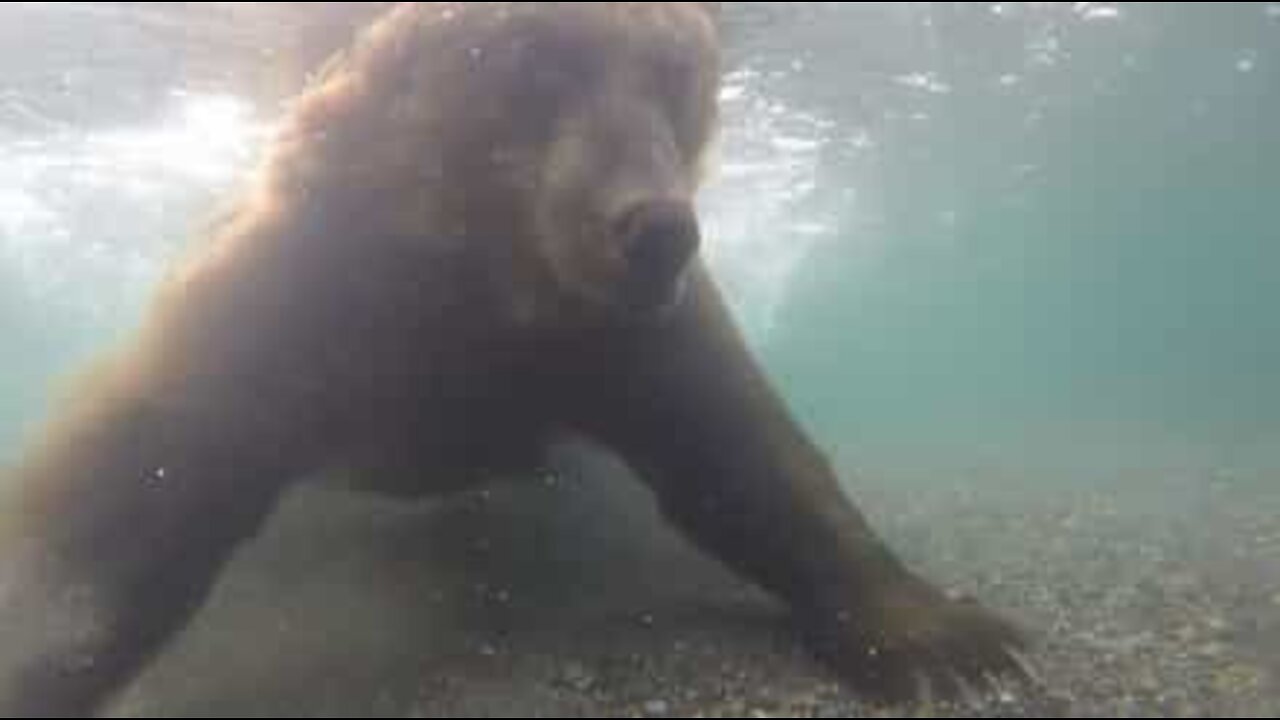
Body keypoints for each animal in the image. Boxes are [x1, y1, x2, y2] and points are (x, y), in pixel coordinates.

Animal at [0, 4, 1024, 712]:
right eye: (537, 62)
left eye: (674, 76)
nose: (656, 229)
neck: (484, 283)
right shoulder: (307, 301)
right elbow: (136, 489)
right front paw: (37, 660)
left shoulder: (613, 335)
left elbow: (743, 453)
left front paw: (953, 638)